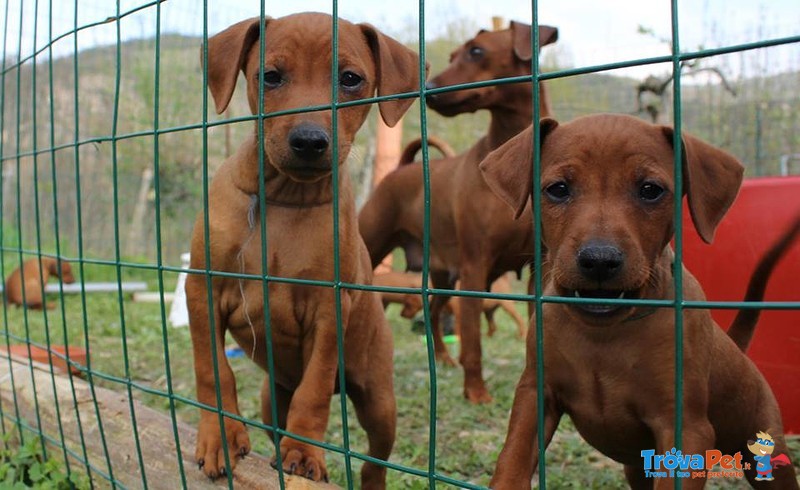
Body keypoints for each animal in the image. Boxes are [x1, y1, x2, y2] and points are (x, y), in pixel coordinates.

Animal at [187, 11, 422, 486]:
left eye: (350, 79)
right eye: (270, 76)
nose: (310, 141)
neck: (286, 196)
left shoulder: (330, 311)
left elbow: (313, 392)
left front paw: (304, 452)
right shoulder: (202, 288)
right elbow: (213, 370)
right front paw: (219, 436)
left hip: (378, 400)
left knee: (375, 460)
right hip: (270, 394)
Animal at [360, 21, 556, 404]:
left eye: (476, 51)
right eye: (452, 55)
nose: (430, 90)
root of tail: (402, 169)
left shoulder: (537, 269)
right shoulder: (475, 268)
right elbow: (475, 345)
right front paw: (476, 392)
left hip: (443, 279)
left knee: (434, 312)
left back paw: (442, 358)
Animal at [482, 114, 800, 486]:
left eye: (650, 190)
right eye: (558, 189)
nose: (599, 260)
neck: (604, 333)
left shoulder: (684, 429)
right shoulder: (536, 394)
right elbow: (512, 461)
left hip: (767, 449)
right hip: (637, 468)